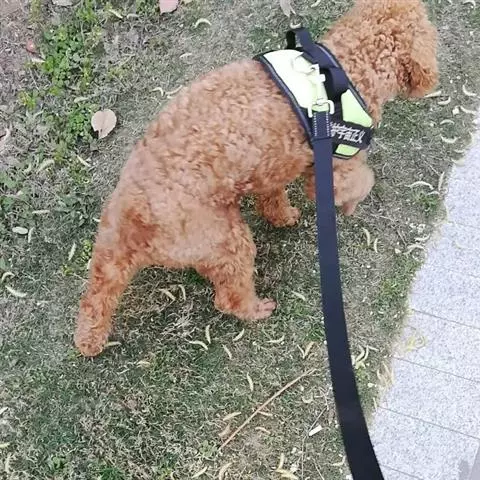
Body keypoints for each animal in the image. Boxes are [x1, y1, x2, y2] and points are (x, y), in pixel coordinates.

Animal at [74, 0, 438, 356]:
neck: (343, 67)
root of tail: (132, 212)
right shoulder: (336, 166)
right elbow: (361, 181)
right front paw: (349, 206)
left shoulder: (273, 165)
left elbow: (273, 198)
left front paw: (283, 216)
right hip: (227, 240)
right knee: (228, 296)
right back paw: (256, 308)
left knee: (98, 295)